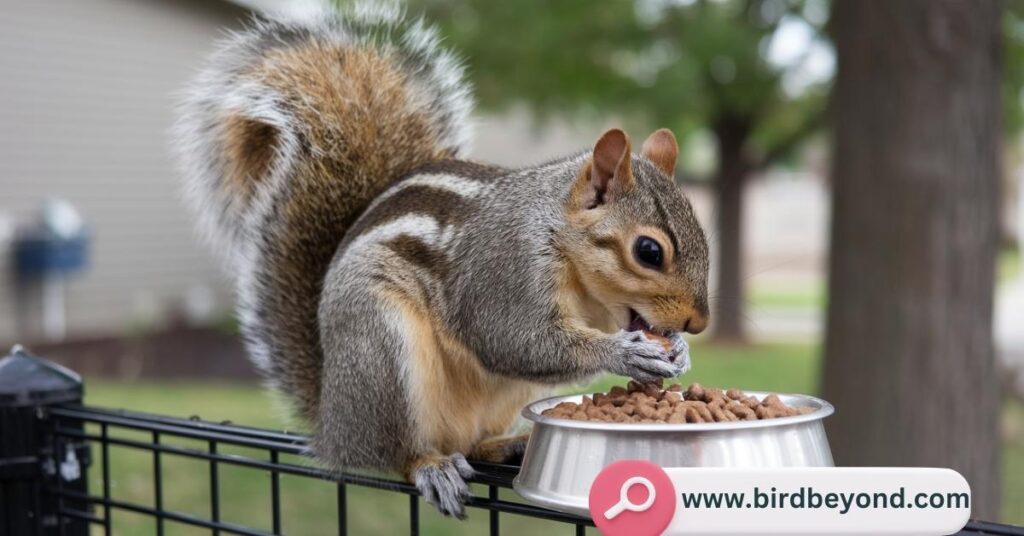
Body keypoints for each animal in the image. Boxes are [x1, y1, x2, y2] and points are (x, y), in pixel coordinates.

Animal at [174, 1, 704, 520]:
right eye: (648, 251)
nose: (697, 323)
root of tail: (334, 428)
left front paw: (678, 352)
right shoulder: (502, 268)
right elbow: (513, 339)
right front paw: (626, 352)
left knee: (470, 443)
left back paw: (507, 445)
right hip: (381, 349)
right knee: (395, 451)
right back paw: (429, 466)